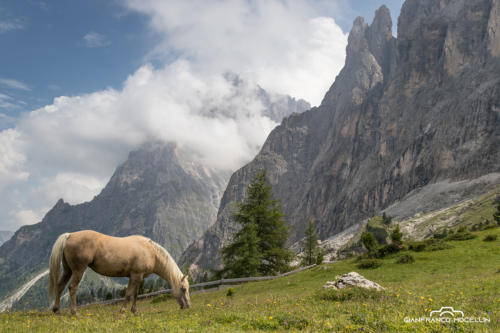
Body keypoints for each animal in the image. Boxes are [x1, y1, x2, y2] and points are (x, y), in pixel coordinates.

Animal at [49, 228, 189, 314]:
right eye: (183, 289)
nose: (188, 306)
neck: (151, 252)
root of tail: (69, 235)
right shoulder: (135, 276)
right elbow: (128, 294)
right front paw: (122, 311)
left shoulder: (138, 277)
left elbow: (135, 294)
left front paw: (134, 311)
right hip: (78, 270)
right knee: (72, 288)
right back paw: (75, 312)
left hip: (68, 270)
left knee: (60, 286)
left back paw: (57, 310)